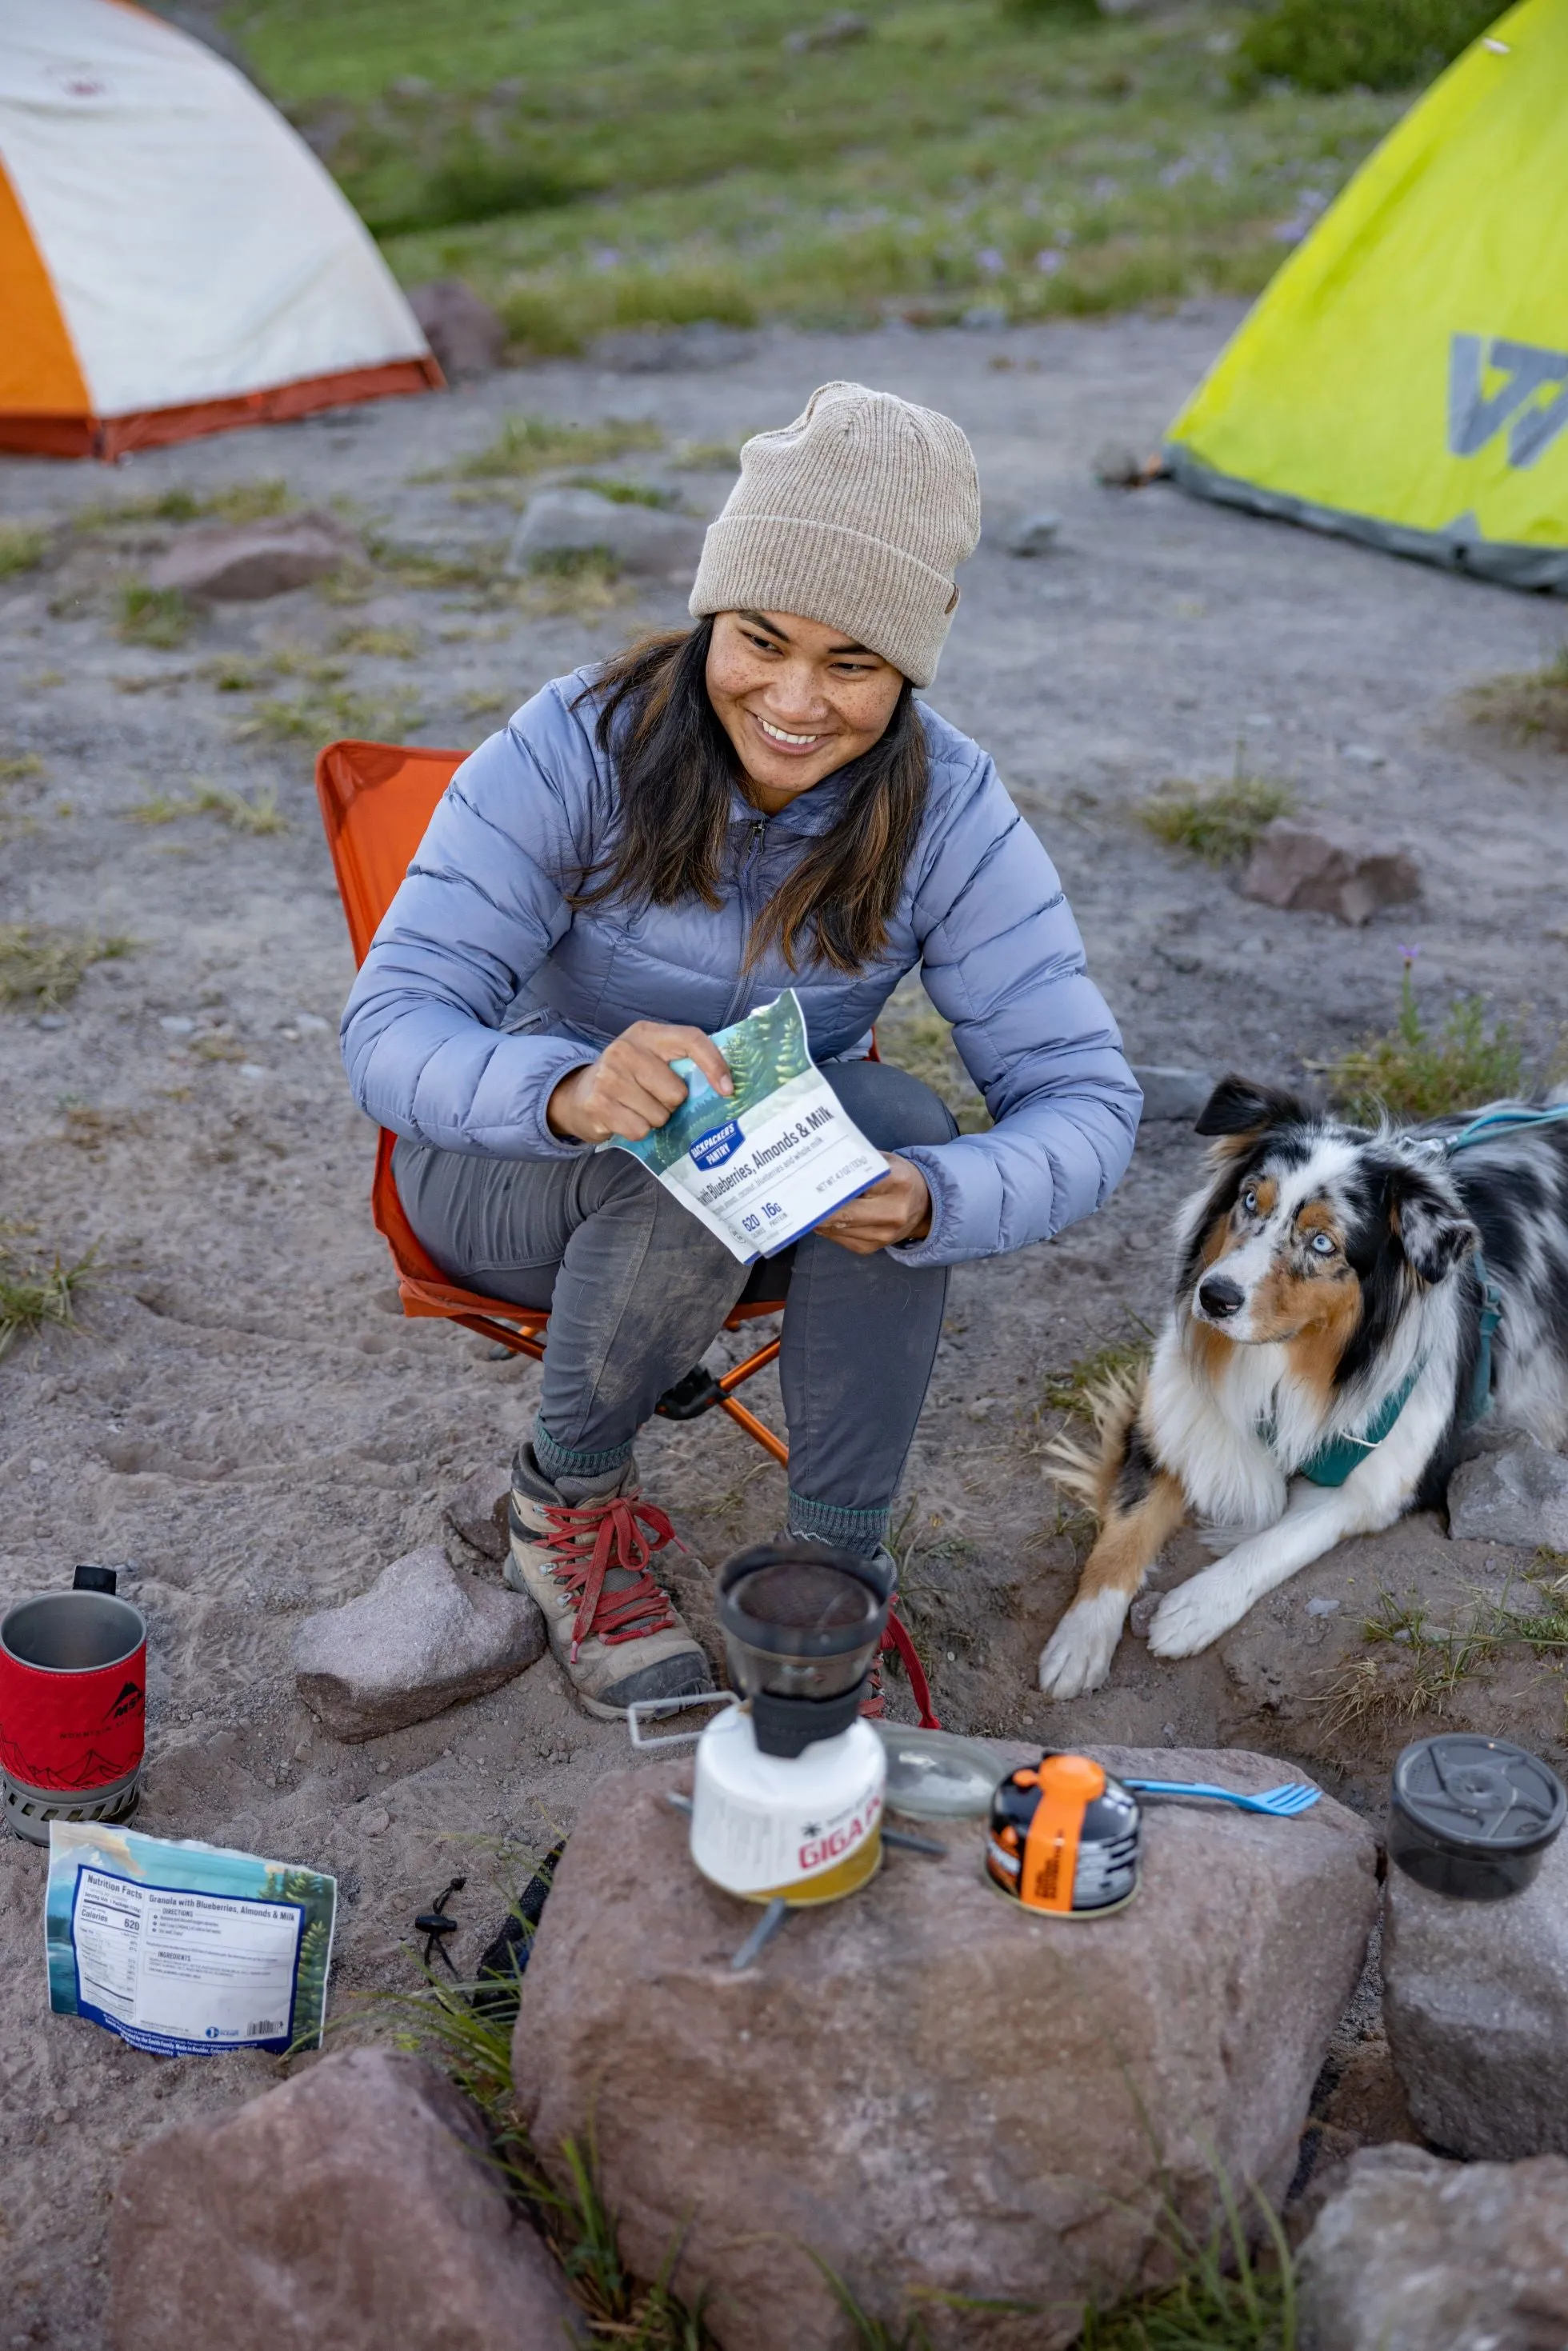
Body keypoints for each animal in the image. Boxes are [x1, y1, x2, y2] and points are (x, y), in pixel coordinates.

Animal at [1043, 1077, 1568, 1701]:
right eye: (1250, 1200)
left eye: (1322, 1243)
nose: (1213, 1297)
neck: (1287, 1361)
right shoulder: (1171, 1417)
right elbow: (1126, 1526)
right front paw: (1079, 1639)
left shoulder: (1384, 1477)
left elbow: (1281, 1539)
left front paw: (1195, 1607)